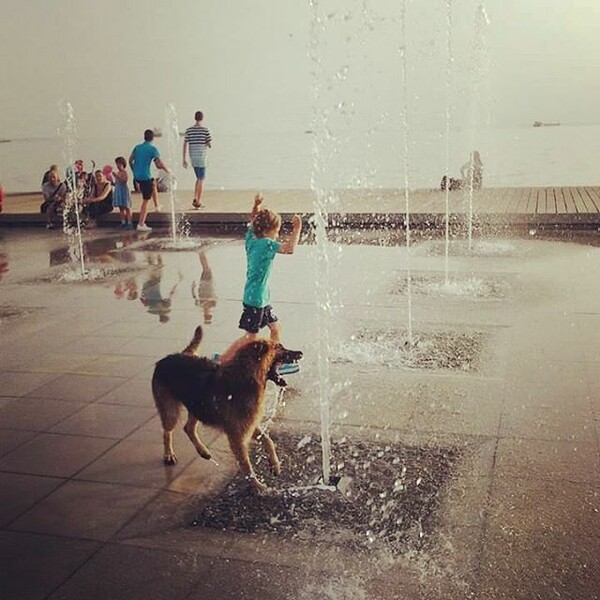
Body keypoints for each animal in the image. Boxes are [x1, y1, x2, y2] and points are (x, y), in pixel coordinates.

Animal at [152, 326, 302, 490]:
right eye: (279, 347)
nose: (301, 353)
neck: (247, 377)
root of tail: (169, 357)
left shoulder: (249, 425)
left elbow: (268, 440)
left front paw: (275, 465)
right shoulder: (237, 437)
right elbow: (246, 464)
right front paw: (257, 486)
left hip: (198, 408)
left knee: (188, 428)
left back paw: (203, 451)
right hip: (171, 411)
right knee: (167, 432)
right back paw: (168, 454)